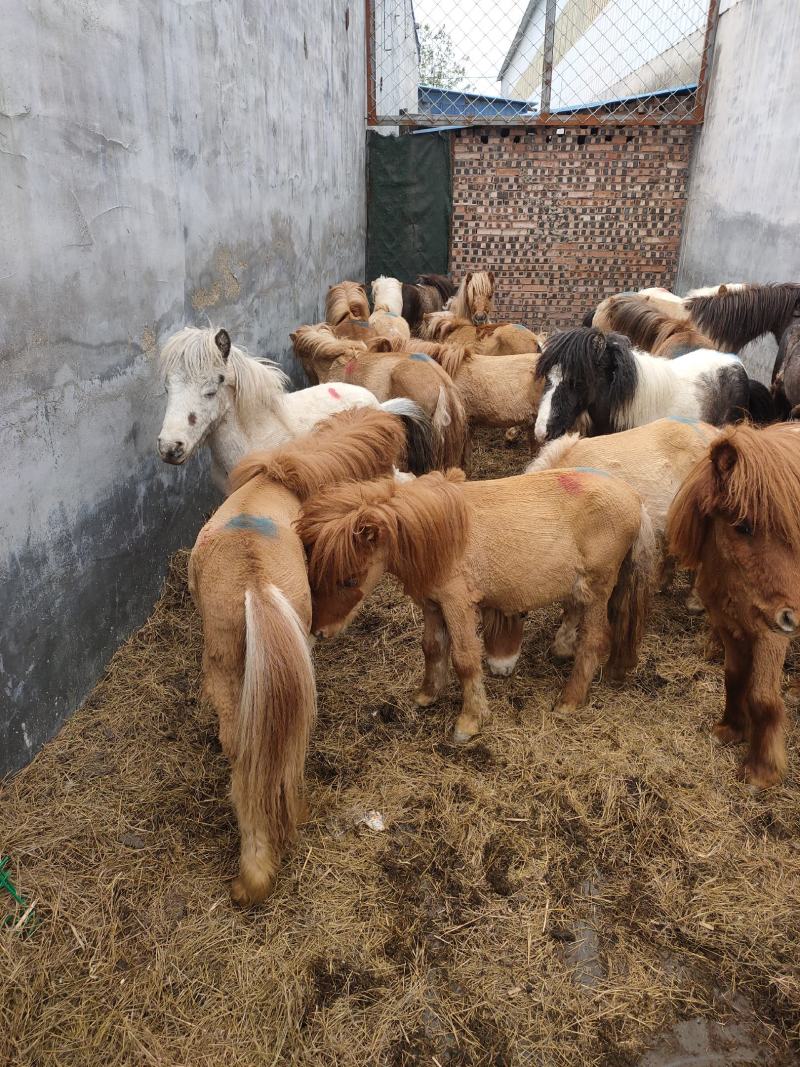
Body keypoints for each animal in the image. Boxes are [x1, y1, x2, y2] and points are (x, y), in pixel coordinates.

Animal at [297, 467, 655, 743]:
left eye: (348, 580)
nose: (321, 632)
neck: (444, 536)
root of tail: (635, 499)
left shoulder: (458, 602)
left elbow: (466, 659)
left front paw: (470, 721)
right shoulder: (432, 603)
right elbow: (432, 647)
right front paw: (427, 694)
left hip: (597, 587)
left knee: (594, 639)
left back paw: (569, 700)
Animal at [667, 422, 800, 788]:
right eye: (742, 526)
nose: (794, 615)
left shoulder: (772, 634)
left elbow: (763, 696)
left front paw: (761, 769)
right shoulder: (729, 626)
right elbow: (734, 676)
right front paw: (730, 729)